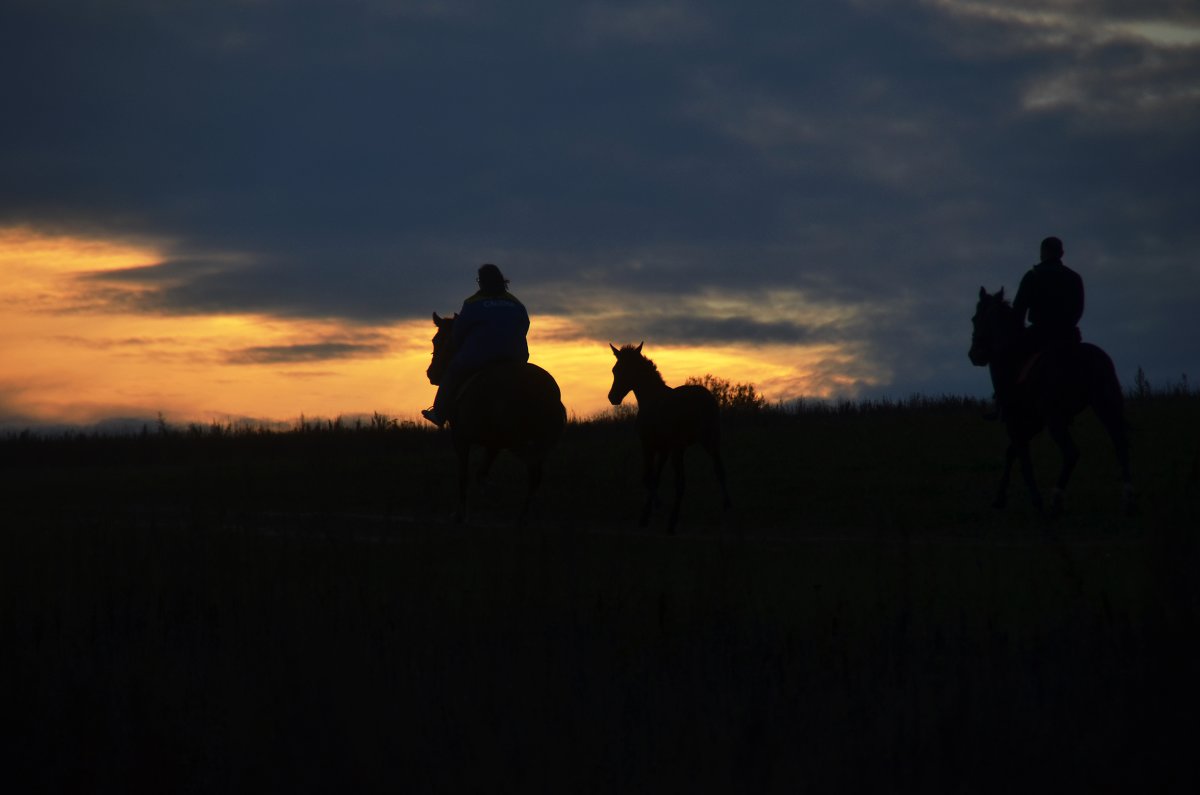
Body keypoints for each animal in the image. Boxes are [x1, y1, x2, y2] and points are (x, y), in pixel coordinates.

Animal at [427, 314, 566, 525]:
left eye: (438, 340)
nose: (431, 374)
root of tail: (542, 390)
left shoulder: (461, 437)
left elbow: (464, 474)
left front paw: (460, 514)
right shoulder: (493, 444)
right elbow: (481, 472)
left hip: (519, 443)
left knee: (533, 471)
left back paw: (522, 516)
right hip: (536, 443)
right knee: (535, 476)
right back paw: (524, 515)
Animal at [609, 338, 729, 533]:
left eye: (626, 370)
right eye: (615, 370)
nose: (613, 397)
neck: (651, 399)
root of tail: (706, 401)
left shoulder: (649, 446)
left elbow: (647, 477)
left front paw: (651, 510)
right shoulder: (664, 450)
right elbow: (656, 478)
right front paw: (647, 514)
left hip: (681, 448)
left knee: (681, 482)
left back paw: (672, 522)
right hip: (708, 442)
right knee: (719, 472)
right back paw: (728, 511)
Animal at [969, 287, 1128, 516]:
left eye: (975, 318)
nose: (975, 355)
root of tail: (1085, 359)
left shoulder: (1016, 422)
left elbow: (1022, 457)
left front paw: (1035, 500)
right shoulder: (1034, 423)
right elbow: (1012, 452)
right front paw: (1000, 498)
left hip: (1056, 419)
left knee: (1071, 453)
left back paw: (1055, 500)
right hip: (1106, 405)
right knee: (1121, 444)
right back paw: (1127, 500)